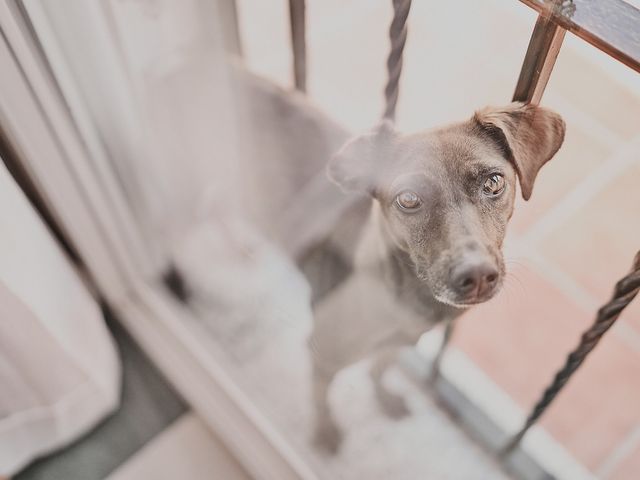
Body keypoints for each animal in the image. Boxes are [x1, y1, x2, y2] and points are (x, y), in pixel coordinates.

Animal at [306, 101, 564, 450]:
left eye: (494, 182)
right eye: (408, 198)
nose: (477, 275)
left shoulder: (403, 340)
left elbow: (380, 367)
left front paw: (383, 397)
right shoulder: (323, 351)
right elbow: (321, 396)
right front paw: (324, 430)